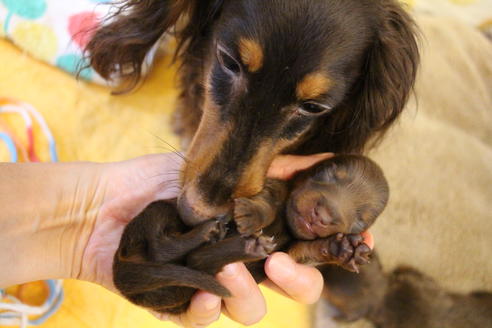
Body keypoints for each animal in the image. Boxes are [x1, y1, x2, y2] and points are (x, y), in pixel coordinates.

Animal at [112, 155, 388, 314]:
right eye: (328, 172)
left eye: (361, 218)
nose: (323, 215)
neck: (287, 225)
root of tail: (120, 272)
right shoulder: (275, 185)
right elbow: (266, 200)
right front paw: (252, 213)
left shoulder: (289, 252)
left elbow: (305, 251)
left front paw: (343, 250)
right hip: (160, 212)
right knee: (162, 247)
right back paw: (213, 232)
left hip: (178, 292)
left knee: (198, 260)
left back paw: (240, 246)